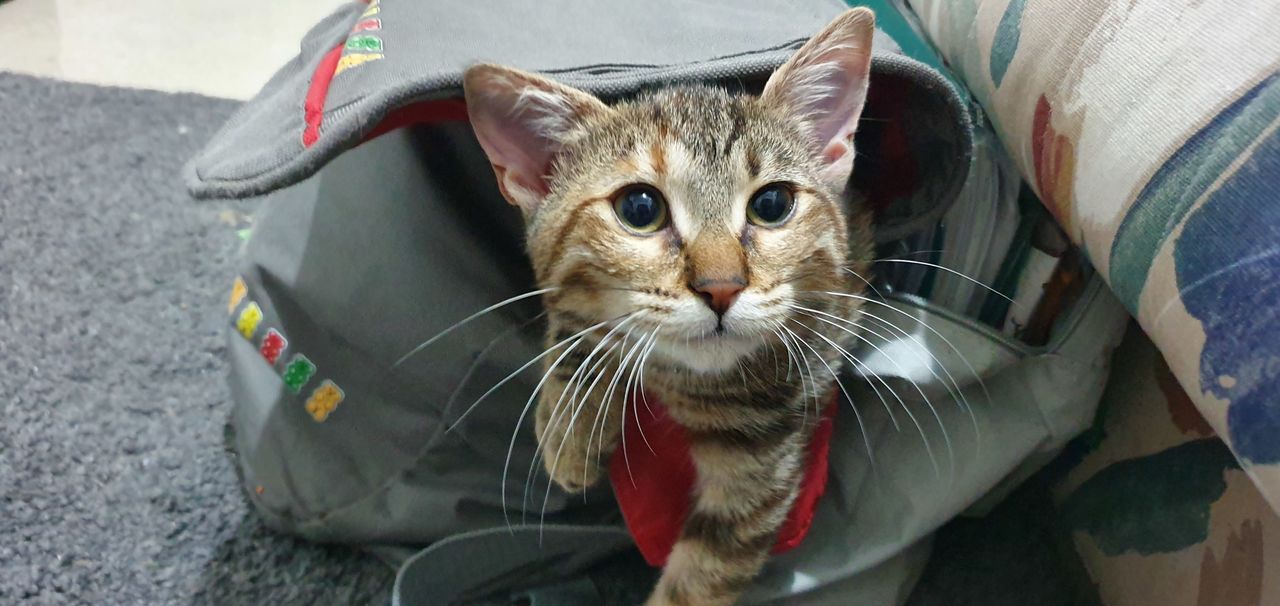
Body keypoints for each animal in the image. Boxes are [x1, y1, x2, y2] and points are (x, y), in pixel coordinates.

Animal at [465, 9, 875, 604]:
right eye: (640, 209)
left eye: (773, 204)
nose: (721, 287)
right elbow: (572, 312)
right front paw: (570, 425)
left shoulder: (762, 461)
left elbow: (705, 571)